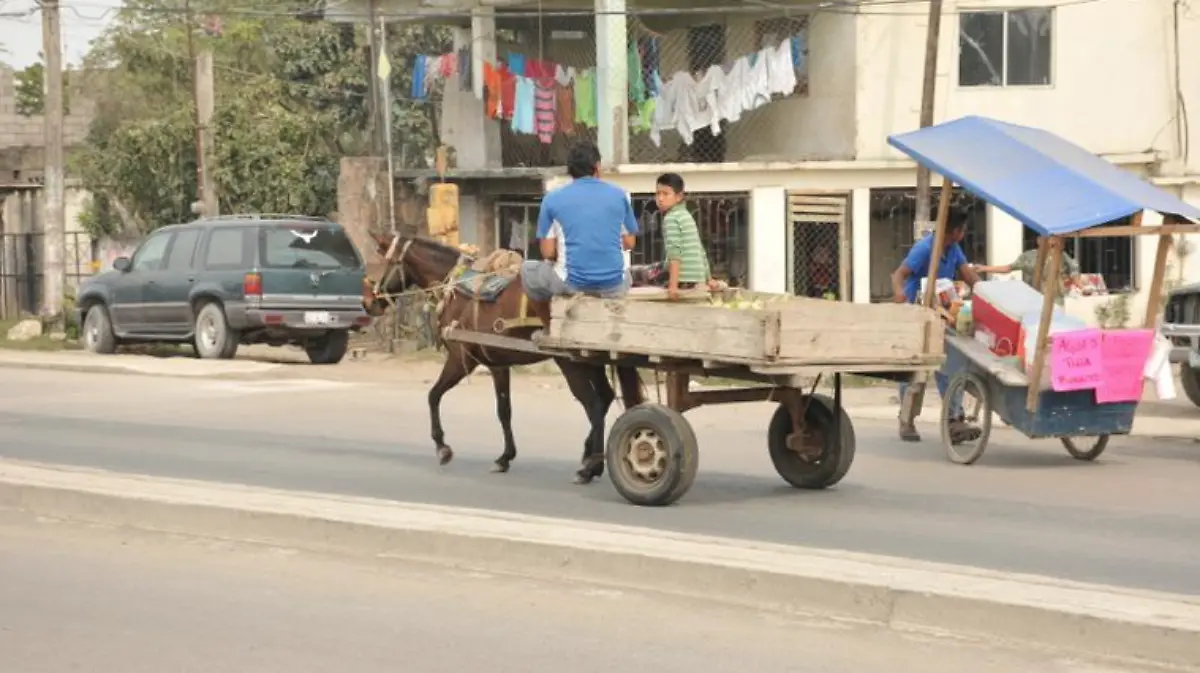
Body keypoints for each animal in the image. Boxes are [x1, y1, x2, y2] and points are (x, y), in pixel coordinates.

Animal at [364, 235, 648, 482]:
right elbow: (504, 411)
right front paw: (505, 457)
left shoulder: (460, 359)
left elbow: (433, 395)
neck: (456, 289)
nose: (368, 303)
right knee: (605, 397)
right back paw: (589, 456)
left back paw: (591, 467)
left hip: (569, 362)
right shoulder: (498, 365)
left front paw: (442, 447)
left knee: (594, 404)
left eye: (381, 262)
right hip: (589, 360)